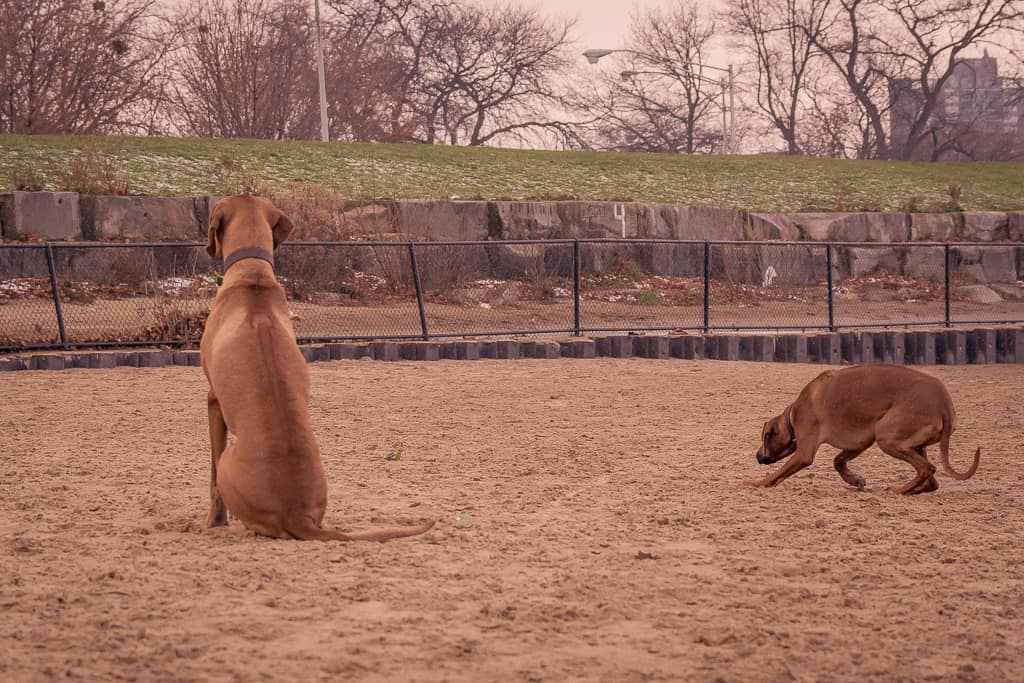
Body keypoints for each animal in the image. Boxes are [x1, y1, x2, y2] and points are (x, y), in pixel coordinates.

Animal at [199, 194, 436, 540]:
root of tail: (299, 516)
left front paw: (212, 521)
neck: (253, 274)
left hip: (231, 458)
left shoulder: (213, 400)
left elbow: (212, 476)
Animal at [749, 366, 978, 493]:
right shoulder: (860, 443)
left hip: (886, 436)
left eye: (764, 438)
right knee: (932, 482)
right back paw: (912, 490)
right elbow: (838, 461)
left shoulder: (804, 453)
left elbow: (776, 474)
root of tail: (944, 406)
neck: (795, 413)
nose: (758, 456)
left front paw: (755, 482)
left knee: (927, 469)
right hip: (914, 444)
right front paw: (855, 479)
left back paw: (898, 490)